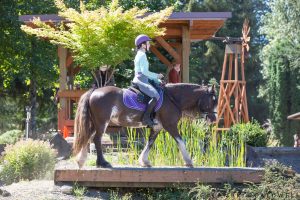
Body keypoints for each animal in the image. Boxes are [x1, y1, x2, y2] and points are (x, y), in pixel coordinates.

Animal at [73, 83, 217, 169]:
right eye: (213, 100)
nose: (214, 119)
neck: (172, 99)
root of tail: (94, 90)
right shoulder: (170, 125)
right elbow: (181, 141)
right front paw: (188, 161)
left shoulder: (157, 128)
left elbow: (150, 144)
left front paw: (144, 161)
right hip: (102, 122)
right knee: (96, 139)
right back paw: (103, 163)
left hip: (94, 123)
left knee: (87, 137)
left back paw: (81, 161)